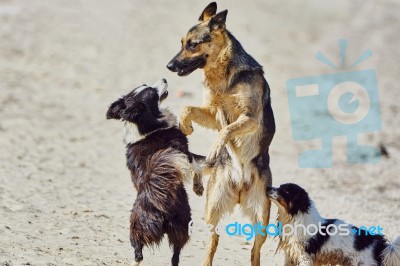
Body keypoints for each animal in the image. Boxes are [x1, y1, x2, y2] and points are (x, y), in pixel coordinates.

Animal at [106, 78, 203, 264]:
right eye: (152, 93)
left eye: (145, 85)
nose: (164, 78)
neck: (147, 129)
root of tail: (160, 206)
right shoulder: (184, 152)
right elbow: (200, 164)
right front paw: (199, 187)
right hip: (183, 223)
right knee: (172, 256)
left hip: (142, 227)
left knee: (142, 253)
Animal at [166, 2, 276, 266]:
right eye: (181, 43)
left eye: (192, 44)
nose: (169, 67)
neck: (222, 75)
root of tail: (240, 187)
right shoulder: (213, 111)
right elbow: (188, 109)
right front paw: (186, 127)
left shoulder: (250, 118)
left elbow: (227, 129)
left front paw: (215, 148)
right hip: (212, 208)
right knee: (213, 241)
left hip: (262, 219)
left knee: (255, 251)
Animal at [266, 183, 400, 266]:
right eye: (280, 186)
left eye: (285, 191)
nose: (267, 187)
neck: (296, 218)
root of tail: (380, 245)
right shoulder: (291, 254)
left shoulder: (305, 257)